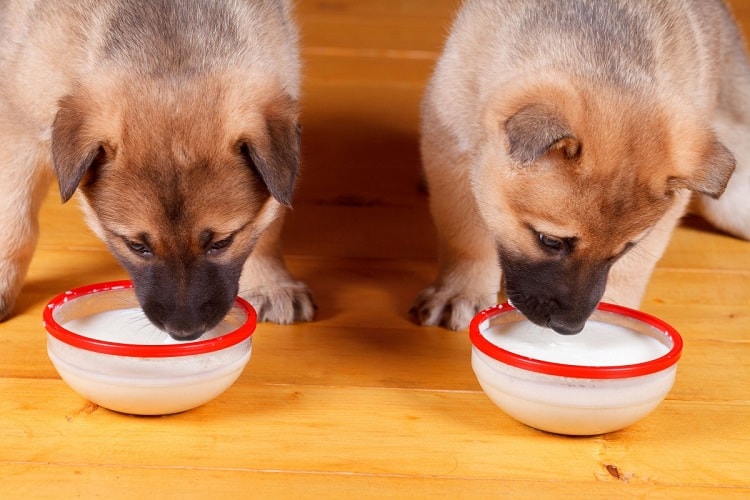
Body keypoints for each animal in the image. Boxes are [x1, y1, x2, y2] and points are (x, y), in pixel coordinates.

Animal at [0, 0, 316, 340]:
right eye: (137, 246)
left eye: (222, 243)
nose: (185, 333)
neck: (173, 49)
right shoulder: (22, 129)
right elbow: (15, 221)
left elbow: (269, 223)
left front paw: (270, 283)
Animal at [414, 0, 748, 336]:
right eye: (550, 241)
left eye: (626, 248)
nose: (569, 329)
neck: (605, 60)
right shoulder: (453, 153)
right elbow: (465, 235)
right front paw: (461, 291)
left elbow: (631, 270)